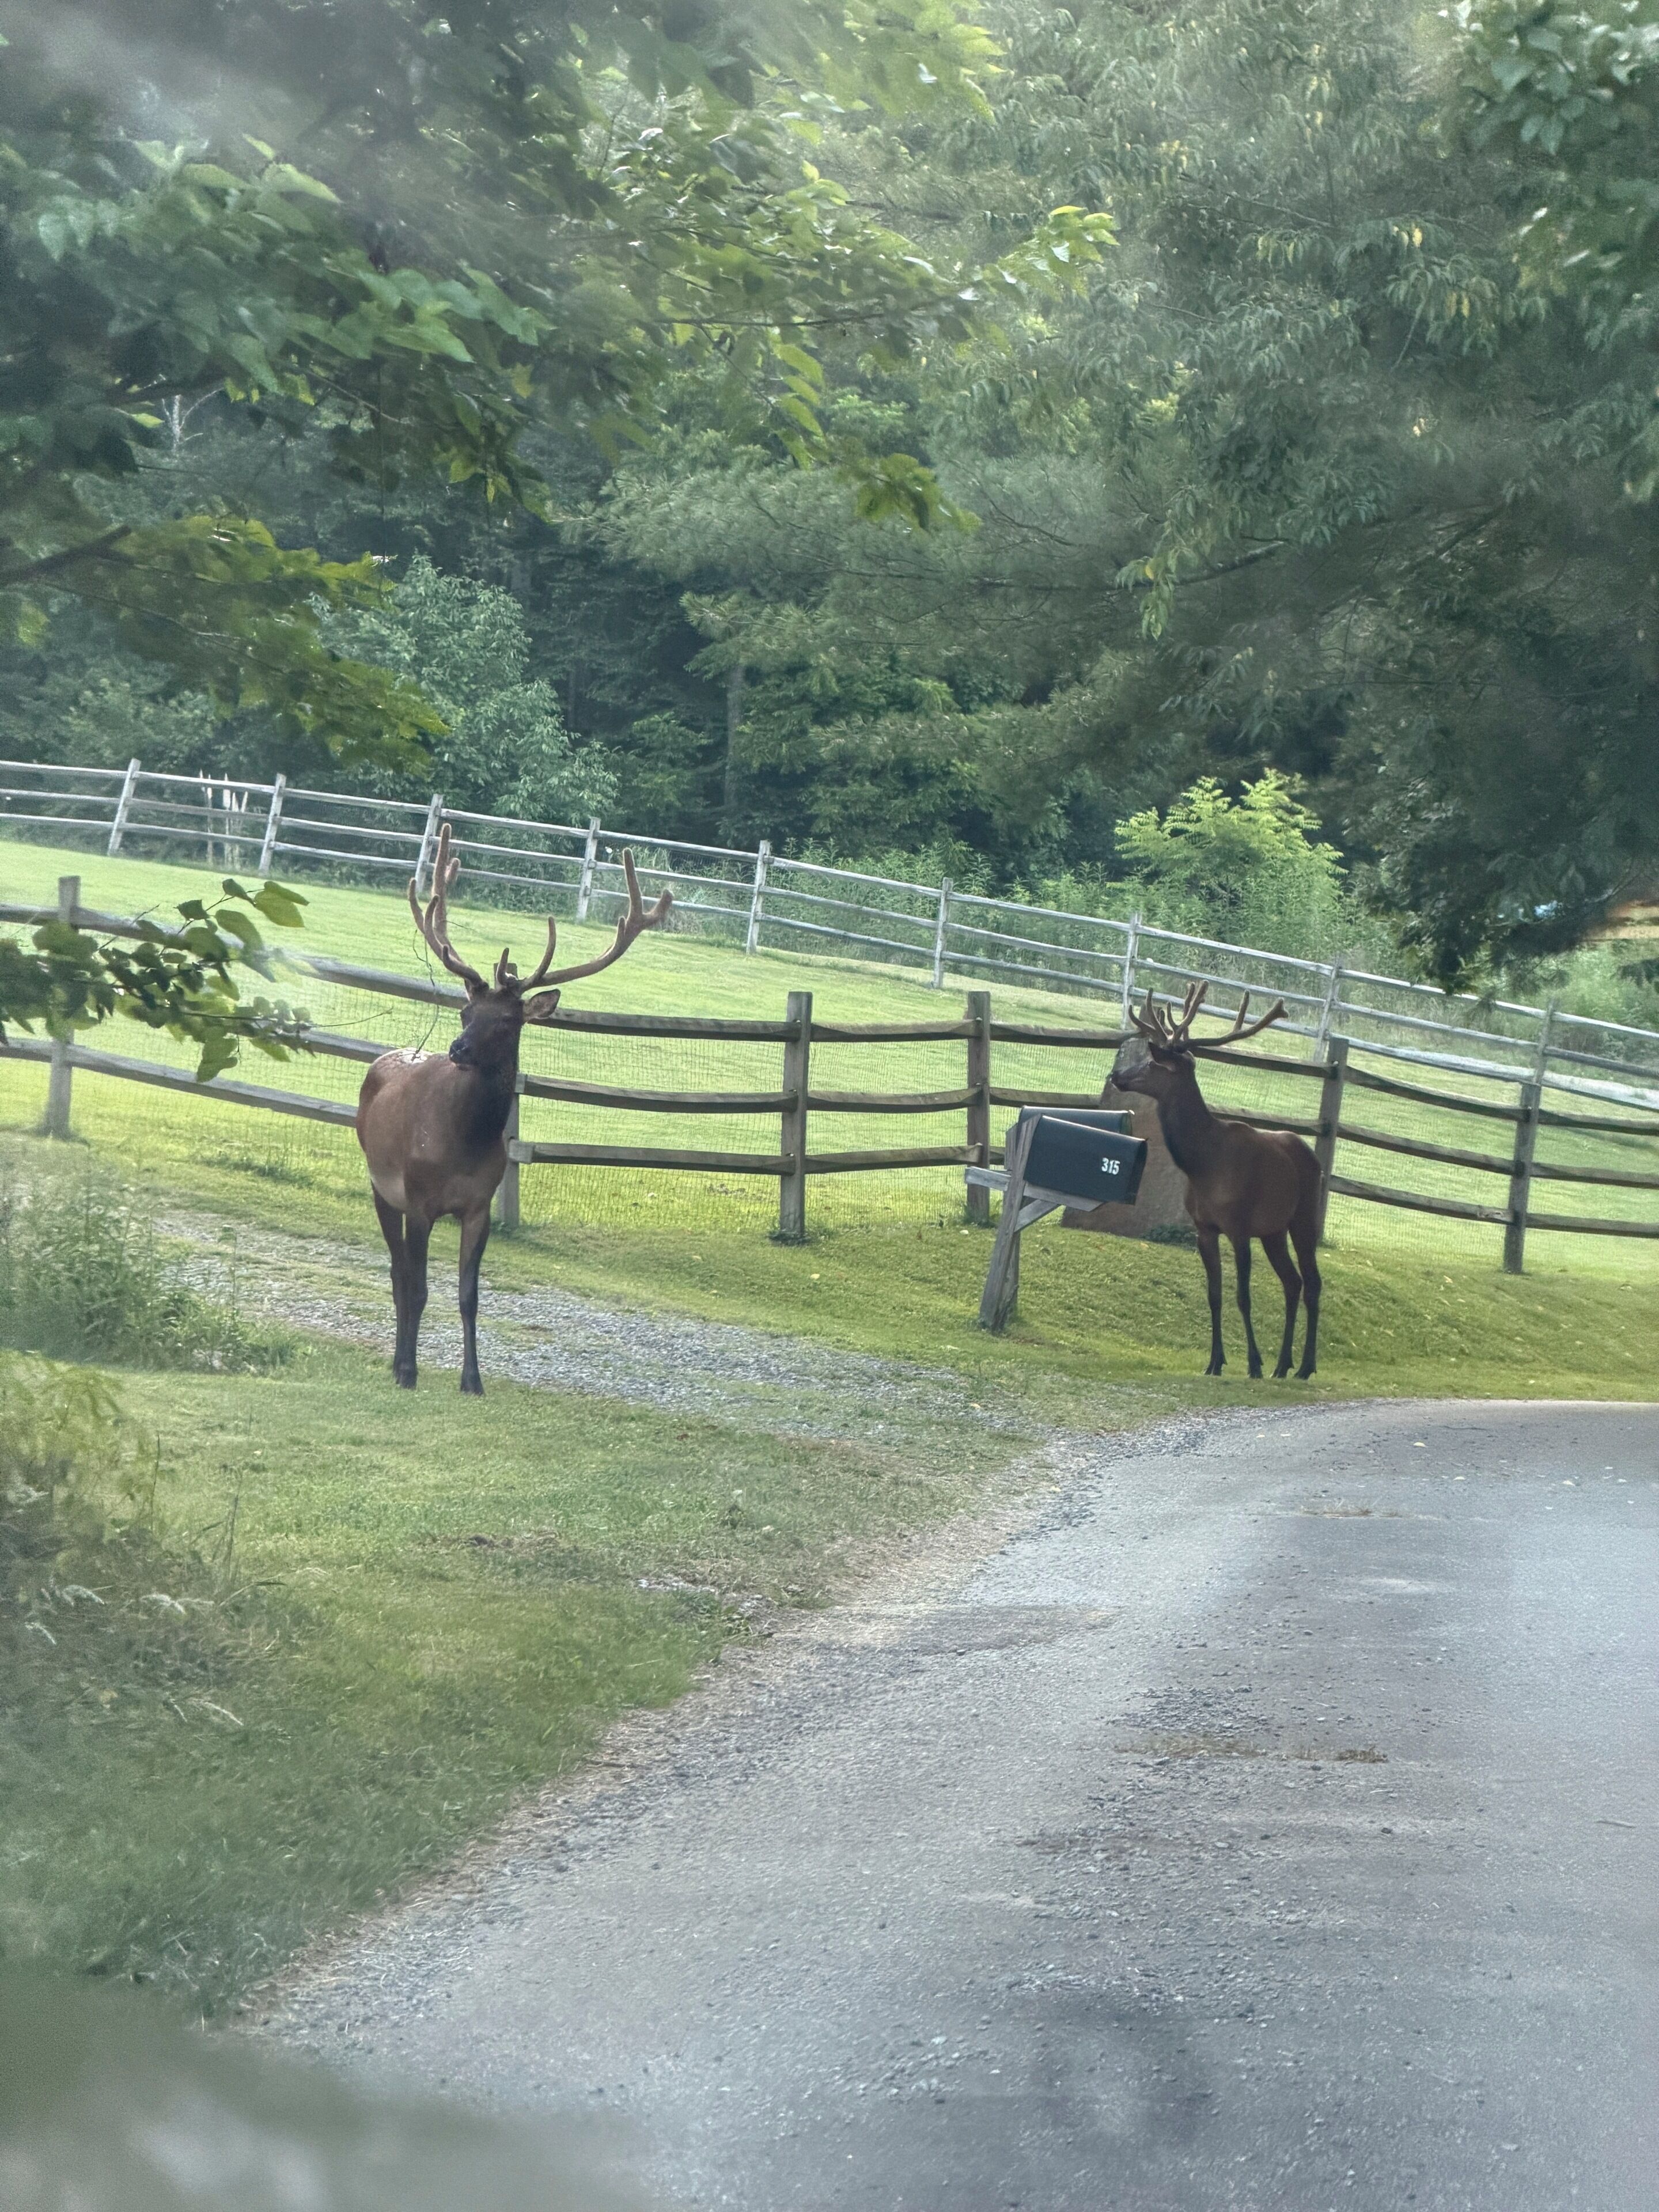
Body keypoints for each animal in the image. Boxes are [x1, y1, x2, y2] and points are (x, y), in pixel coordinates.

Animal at [356, 824, 671, 1394]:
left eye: (507, 1021)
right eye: (465, 1010)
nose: (458, 1049)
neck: (462, 1145)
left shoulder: (480, 1205)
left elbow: (469, 1296)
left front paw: (473, 1381)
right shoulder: (418, 1199)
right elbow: (419, 1287)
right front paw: (410, 1370)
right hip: (379, 1184)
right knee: (397, 1274)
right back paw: (397, 1363)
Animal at [1109, 982, 1324, 1381]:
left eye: (1152, 1063)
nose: (1115, 1076)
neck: (1202, 1164)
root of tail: (1312, 1155)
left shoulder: (1239, 1226)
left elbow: (1243, 1296)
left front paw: (1253, 1363)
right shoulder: (1204, 1227)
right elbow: (1215, 1295)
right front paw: (1215, 1362)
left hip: (1304, 1217)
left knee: (1312, 1283)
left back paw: (1304, 1367)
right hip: (1273, 1230)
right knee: (1292, 1282)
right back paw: (1282, 1365)